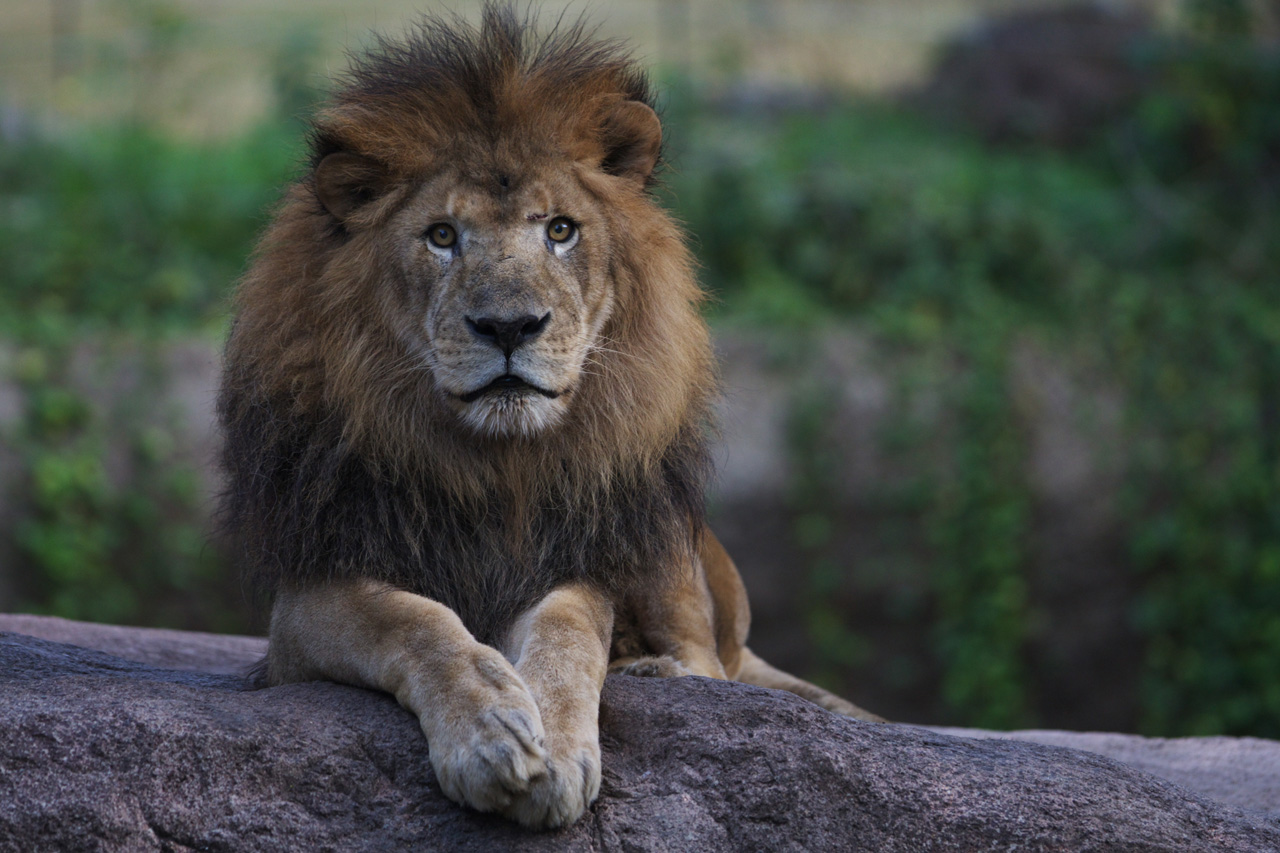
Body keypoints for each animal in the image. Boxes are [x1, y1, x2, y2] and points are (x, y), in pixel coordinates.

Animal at [220, 3, 880, 824]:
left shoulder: (574, 563)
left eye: (560, 229)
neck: (498, 466)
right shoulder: (309, 597)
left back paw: (650, 669)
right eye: (443, 236)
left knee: (709, 666)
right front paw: (491, 732)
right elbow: (414, 620)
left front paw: (560, 746)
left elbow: (569, 635)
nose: (509, 327)